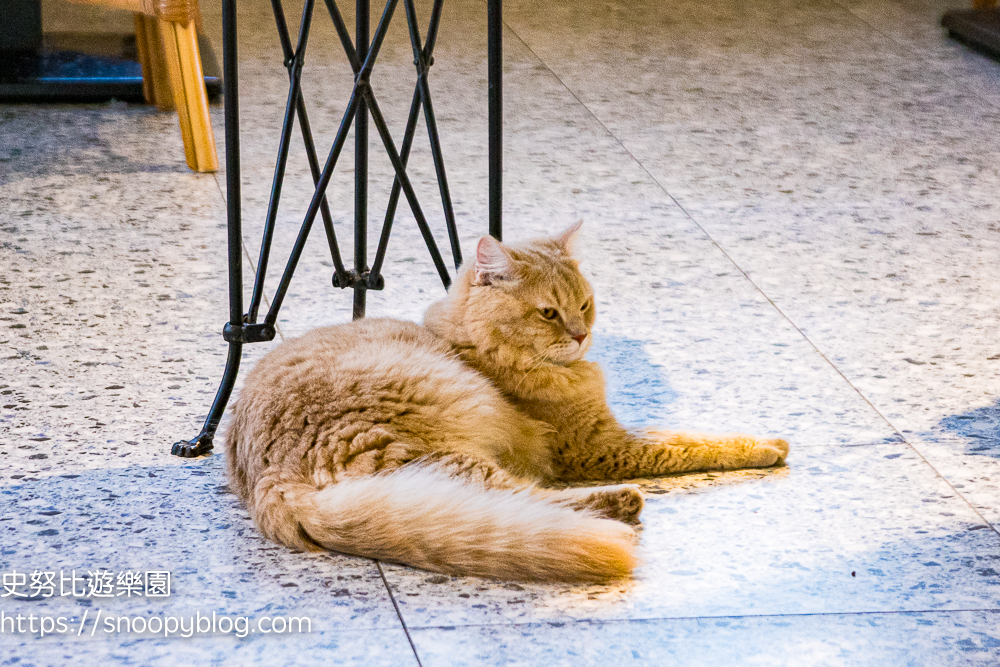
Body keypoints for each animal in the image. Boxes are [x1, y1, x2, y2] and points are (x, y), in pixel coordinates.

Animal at [227, 222, 788, 580]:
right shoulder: (598, 445)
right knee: (523, 499)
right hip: (442, 451)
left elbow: (680, 434)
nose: (581, 335)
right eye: (548, 313)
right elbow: (691, 443)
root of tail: (270, 481)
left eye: (585, 305)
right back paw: (619, 505)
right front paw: (767, 445)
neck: (474, 345)